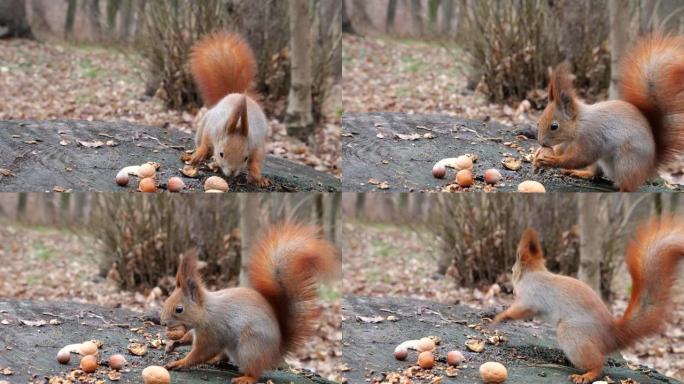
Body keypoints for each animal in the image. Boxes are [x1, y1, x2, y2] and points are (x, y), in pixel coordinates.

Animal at [158, 224, 340, 382]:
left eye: (179, 309)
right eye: (166, 300)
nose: (163, 322)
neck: (205, 312)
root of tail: (275, 352)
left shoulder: (212, 332)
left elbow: (201, 352)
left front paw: (179, 363)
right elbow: (188, 338)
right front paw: (173, 344)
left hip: (250, 347)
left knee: (255, 371)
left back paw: (245, 378)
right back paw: (216, 360)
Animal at [190, 32, 272, 187]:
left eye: (245, 158)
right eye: (221, 154)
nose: (232, 172)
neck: (238, 125)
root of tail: (236, 94)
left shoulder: (256, 143)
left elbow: (256, 160)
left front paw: (257, 176)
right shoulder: (212, 129)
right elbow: (205, 143)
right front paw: (199, 155)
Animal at [494, 218, 684, 382]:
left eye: (512, 271)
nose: (508, 288)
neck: (533, 273)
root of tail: (612, 334)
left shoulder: (531, 296)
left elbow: (519, 310)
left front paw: (498, 317)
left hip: (571, 333)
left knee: (598, 364)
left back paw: (585, 375)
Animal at [536, 35, 684, 192]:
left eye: (554, 126)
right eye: (538, 123)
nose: (541, 142)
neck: (579, 124)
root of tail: (648, 167)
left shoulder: (591, 138)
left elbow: (580, 157)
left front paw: (552, 160)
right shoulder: (567, 143)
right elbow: (562, 150)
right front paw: (540, 155)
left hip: (627, 162)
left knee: (627, 185)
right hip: (601, 163)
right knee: (596, 174)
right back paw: (580, 173)